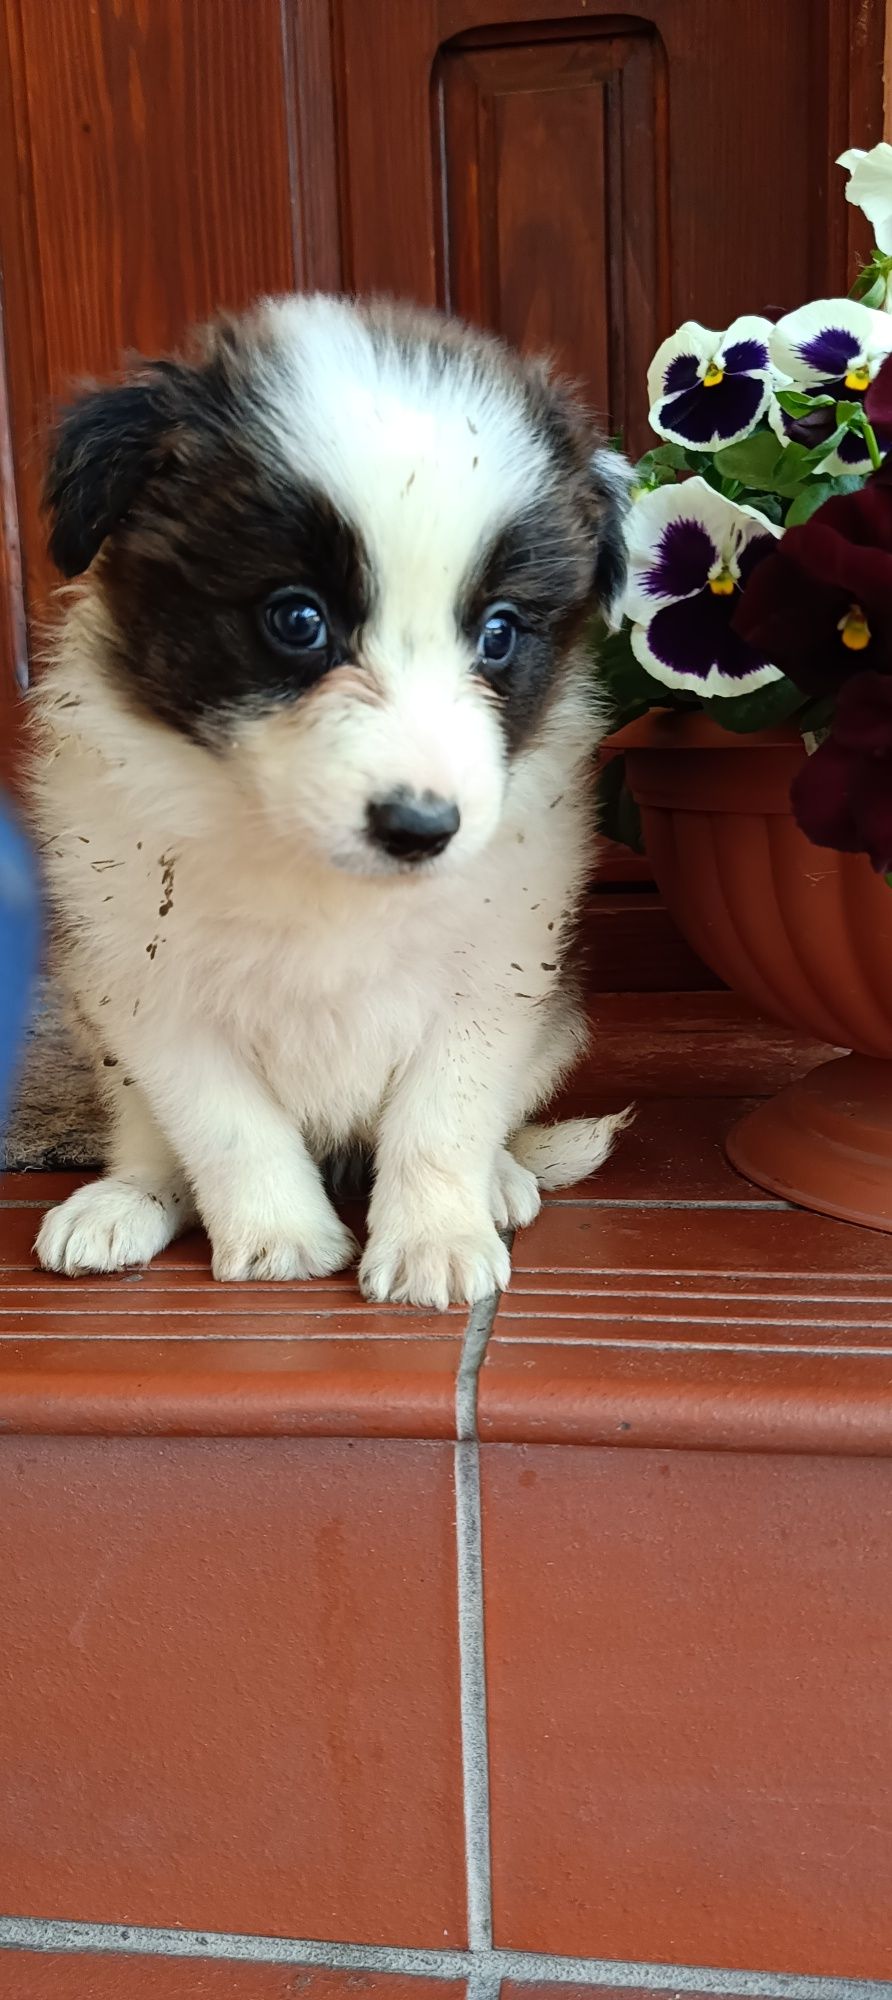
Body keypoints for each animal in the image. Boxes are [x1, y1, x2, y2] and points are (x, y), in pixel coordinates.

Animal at [31, 290, 632, 1304]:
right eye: (297, 618)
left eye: (499, 633)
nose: (422, 828)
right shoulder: (144, 985)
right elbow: (226, 1126)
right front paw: (280, 1236)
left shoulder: (497, 972)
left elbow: (443, 1115)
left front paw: (436, 1239)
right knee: (152, 1140)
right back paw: (125, 1201)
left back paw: (503, 1180)